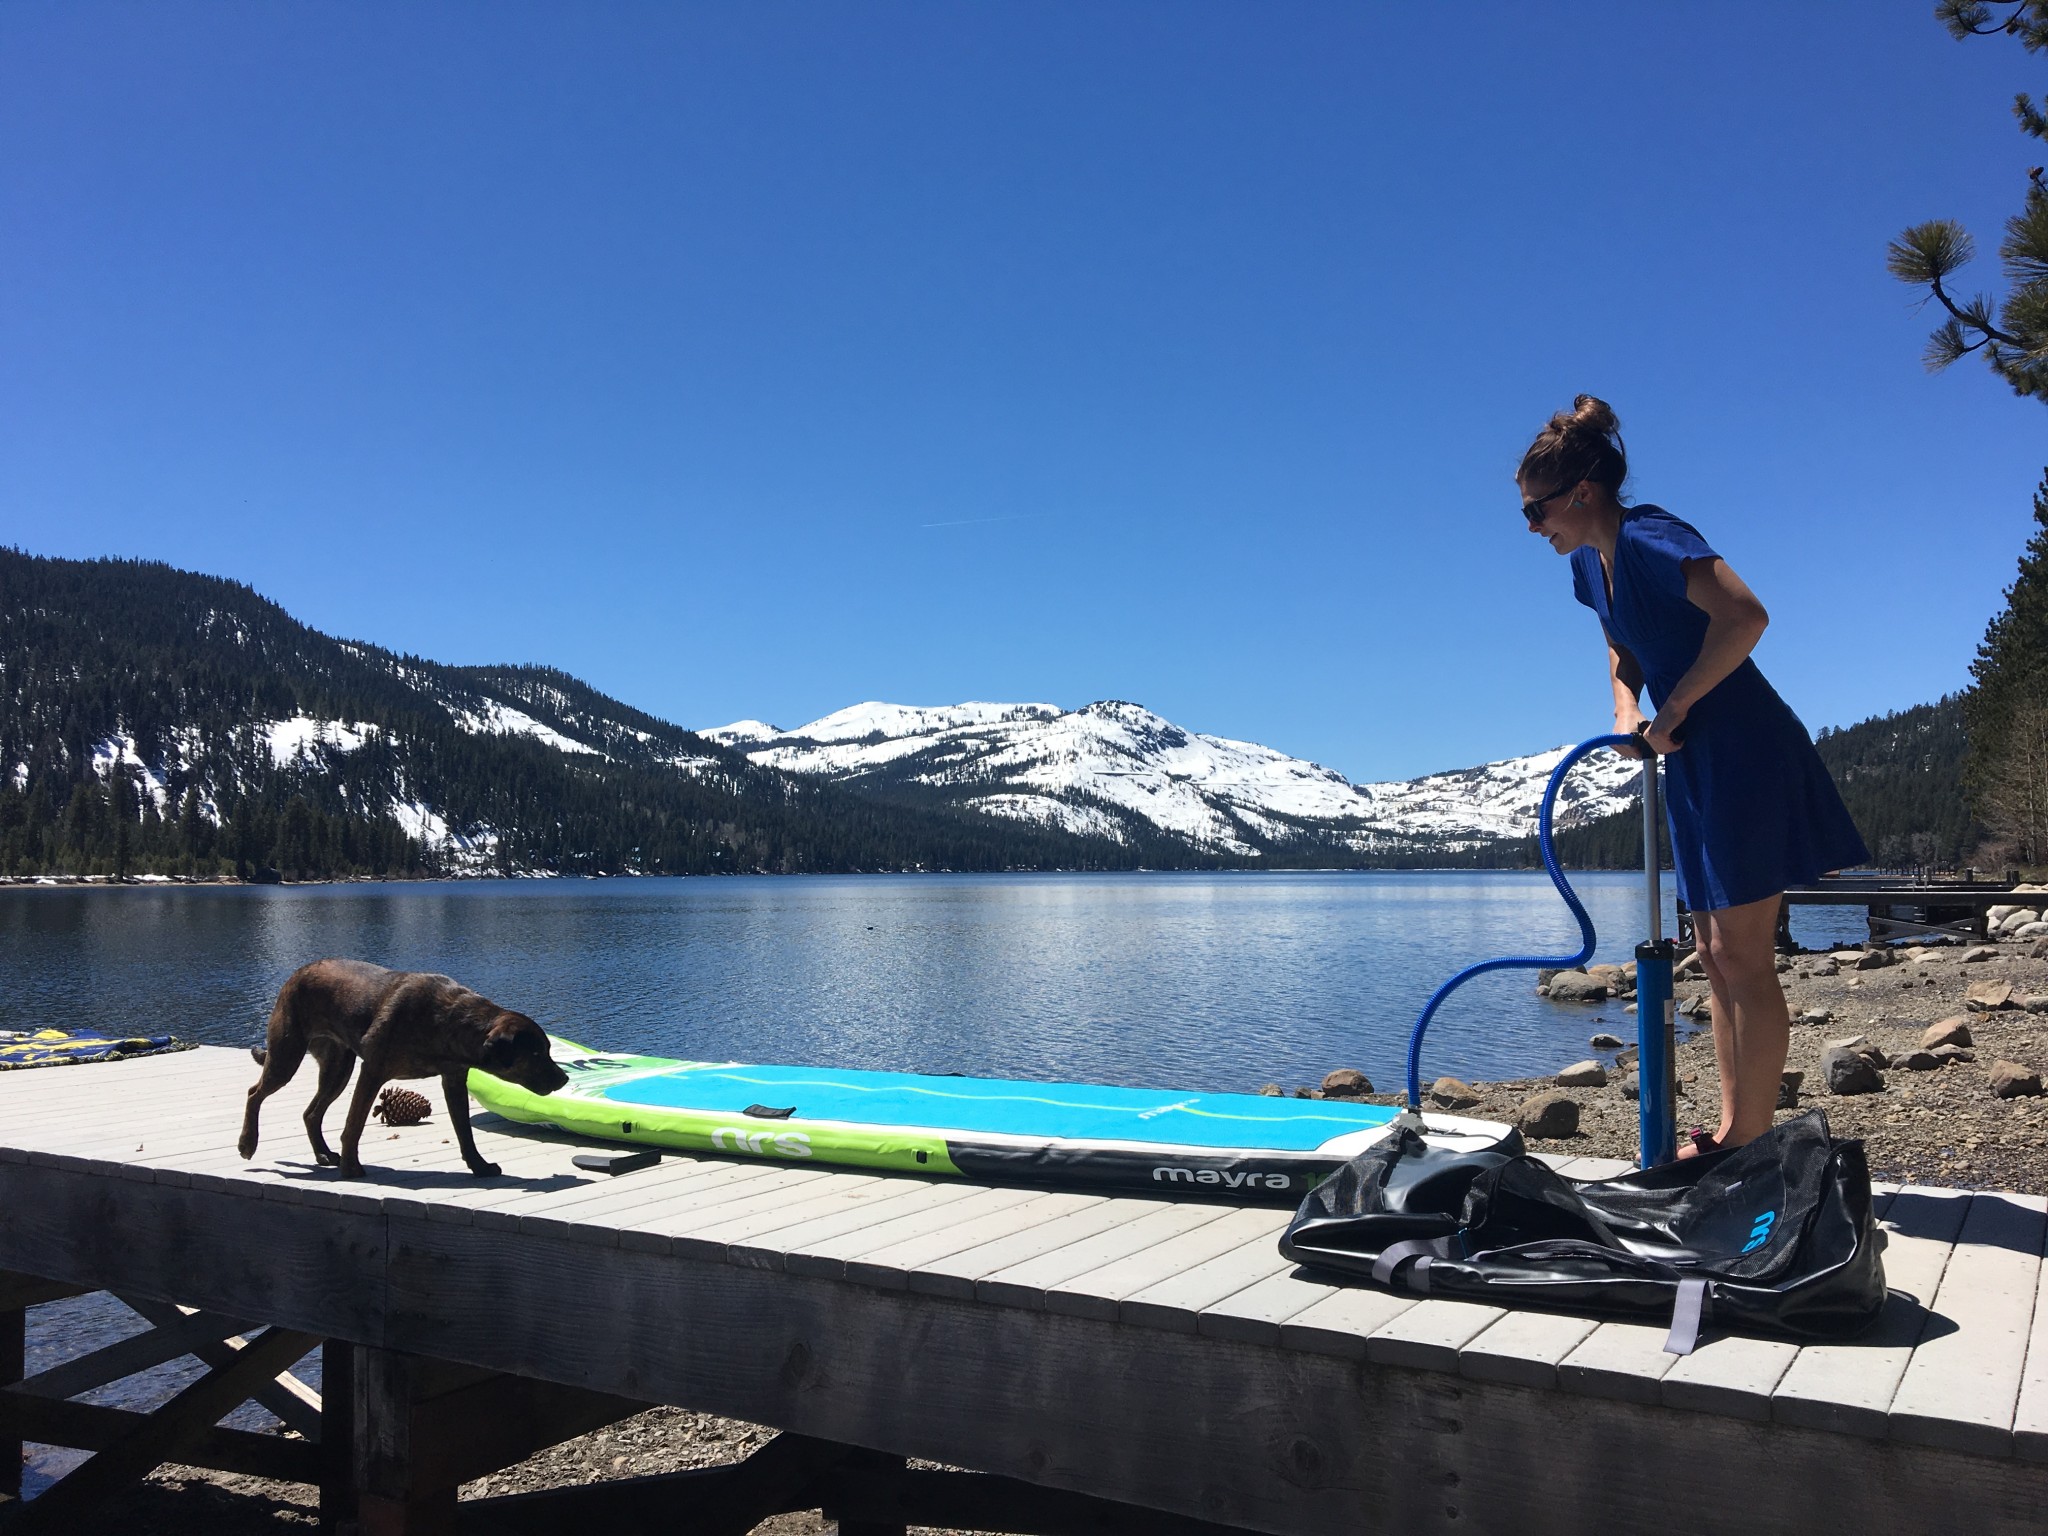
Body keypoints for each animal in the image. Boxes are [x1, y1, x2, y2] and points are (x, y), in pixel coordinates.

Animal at [238, 958, 569, 1179]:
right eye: (536, 1053)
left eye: (547, 1050)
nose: (564, 1079)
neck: (449, 1022)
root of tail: (296, 972)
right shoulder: (372, 1071)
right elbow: (354, 1125)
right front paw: (351, 1168)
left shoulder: (453, 1080)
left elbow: (464, 1131)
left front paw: (479, 1166)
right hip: (288, 1055)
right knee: (255, 1093)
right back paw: (247, 1143)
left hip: (337, 1067)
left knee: (311, 1113)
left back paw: (322, 1153)